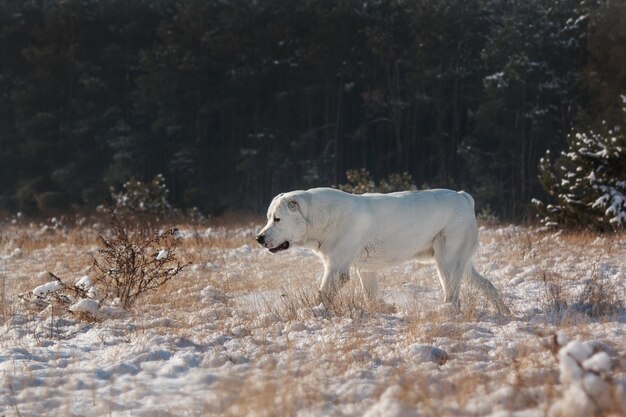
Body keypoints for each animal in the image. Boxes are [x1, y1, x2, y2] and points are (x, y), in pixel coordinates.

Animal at [256, 187, 510, 314]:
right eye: (268, 218)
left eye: (277, 219)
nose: (259, 238)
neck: (319, 218)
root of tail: (464, 197)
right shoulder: (366, 269)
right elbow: (371, 294)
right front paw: (384, 307)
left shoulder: (336, 268)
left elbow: (323, 294)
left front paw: (313, 311)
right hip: (460, 262)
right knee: (487, 285)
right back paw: (504, 311)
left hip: (447, 261)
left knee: (453, 296)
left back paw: (445, 312)